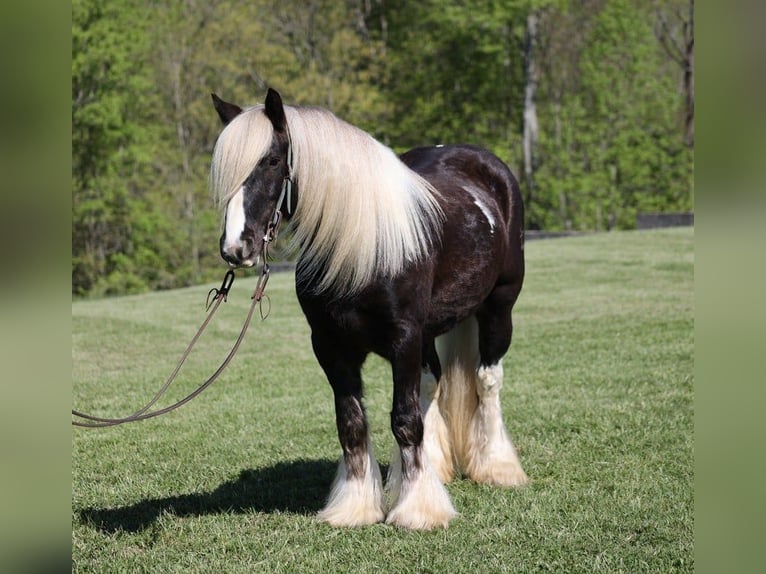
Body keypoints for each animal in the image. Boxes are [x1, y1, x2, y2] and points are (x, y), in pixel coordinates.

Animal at [213, 86, 532, 532]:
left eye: (272, 161)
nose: (235, 248)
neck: (361, 248)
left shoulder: (404, 338)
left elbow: (404, 420)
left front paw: (419, 511)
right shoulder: (331, 347)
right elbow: (352, 423)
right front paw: (355, 508)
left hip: (498, 309)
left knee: (487, 381)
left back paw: (497, 468)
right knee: (432, 384)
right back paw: (436, 468)